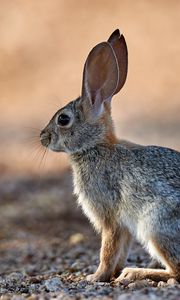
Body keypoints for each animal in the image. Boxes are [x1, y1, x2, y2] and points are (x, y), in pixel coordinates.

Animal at [40, 29, 180, 282]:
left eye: (63, 119)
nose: (42, 137)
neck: (95, 147)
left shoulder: (109, 216)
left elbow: (107, 249)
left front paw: (96, 277)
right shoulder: (122, 226)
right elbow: (120, 250)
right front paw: (111, 273)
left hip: (156, 225)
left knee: (177, 270)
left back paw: (135, 273)